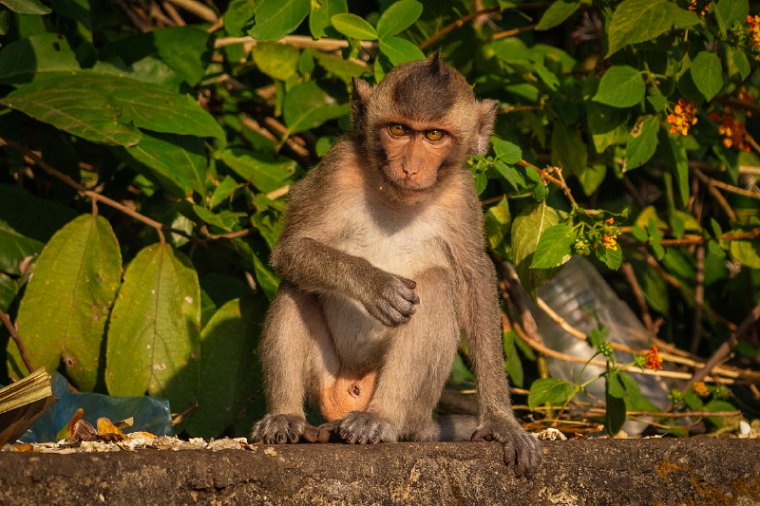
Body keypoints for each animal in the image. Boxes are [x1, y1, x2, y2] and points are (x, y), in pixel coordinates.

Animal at [251, 53, 540, 476]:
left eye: (434, 136)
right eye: (399, 130)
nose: (410, 167)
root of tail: (353, 393)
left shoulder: (462, 196)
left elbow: (474, 281)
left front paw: (502, 422)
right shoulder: (338, 166)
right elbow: (291, 250)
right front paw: (374, 284)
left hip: (415, 407)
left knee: (436, 284)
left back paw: (379, 419)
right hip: (328, 378)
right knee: (297, 286)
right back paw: (288, 417)